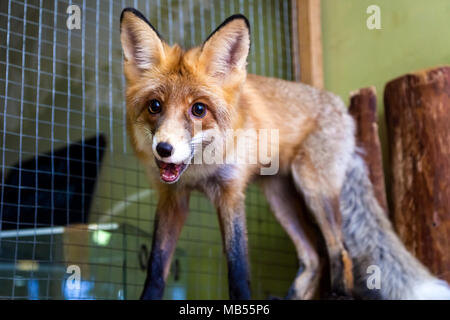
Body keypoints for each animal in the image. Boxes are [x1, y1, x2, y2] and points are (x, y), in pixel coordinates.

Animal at [119, 8, 450, 300]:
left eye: (198, 109)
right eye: (155, 106)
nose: (163, 149)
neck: (199, 169)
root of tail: (344, 112)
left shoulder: (230, 191)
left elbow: (238, 269)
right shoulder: (171, 198)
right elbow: (156, 270)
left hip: (312, 188)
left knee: (338, 250)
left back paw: (338, 294)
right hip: (279, 198)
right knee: (314, 257)